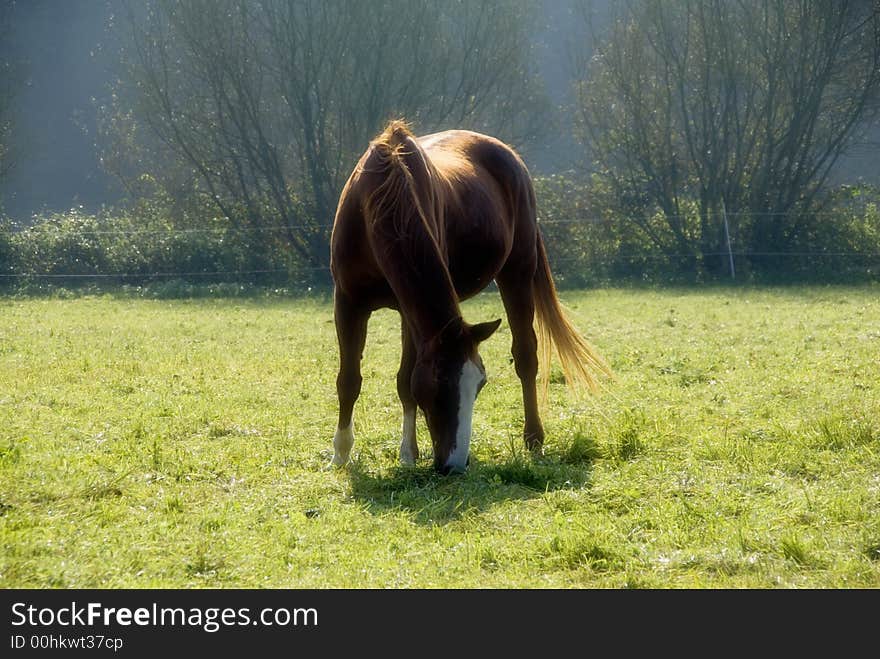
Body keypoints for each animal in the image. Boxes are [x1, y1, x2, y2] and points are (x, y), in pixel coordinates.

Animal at [326, 121, 608, 474]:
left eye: (480, 385)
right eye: (440, 383)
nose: (456, 464)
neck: (380, 198)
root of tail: (510, 157)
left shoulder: (408, 312)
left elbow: (405, 381)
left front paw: (407, 454)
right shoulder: (348, 303)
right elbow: (349, 380)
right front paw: (340, 454)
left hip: (517, 273)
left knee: (526, 356)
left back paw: (534, 438)